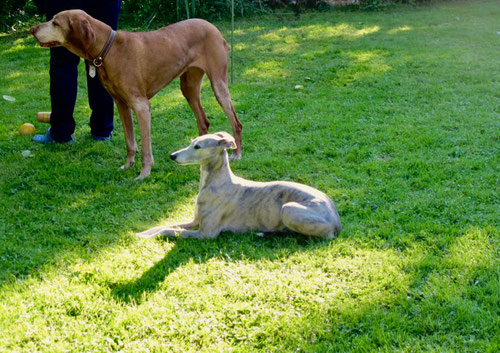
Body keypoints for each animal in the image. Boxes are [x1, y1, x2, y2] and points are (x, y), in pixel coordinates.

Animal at [30, 8, 242, 179]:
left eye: (55, 22)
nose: (32, 29)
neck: (109, 49)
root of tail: (214, 28)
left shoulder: (141, 106)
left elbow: (146, 148)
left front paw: (144, 173)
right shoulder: (122, 105)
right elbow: (130, 142)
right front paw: (127, 165)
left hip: (219, 86)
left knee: (236, 122)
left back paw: (237, 153)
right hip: (188, 87)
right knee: (203, 120)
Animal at [135, 132, 342, 239]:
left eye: (198, 147)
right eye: (191, 142)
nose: (172, 156)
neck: (216, 181)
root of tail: (337, 222)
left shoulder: (206, 233)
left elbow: (169, 230)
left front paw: (147, 237)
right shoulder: (195, 221)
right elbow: (166, 224)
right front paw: (142, 232)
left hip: (289, 209)